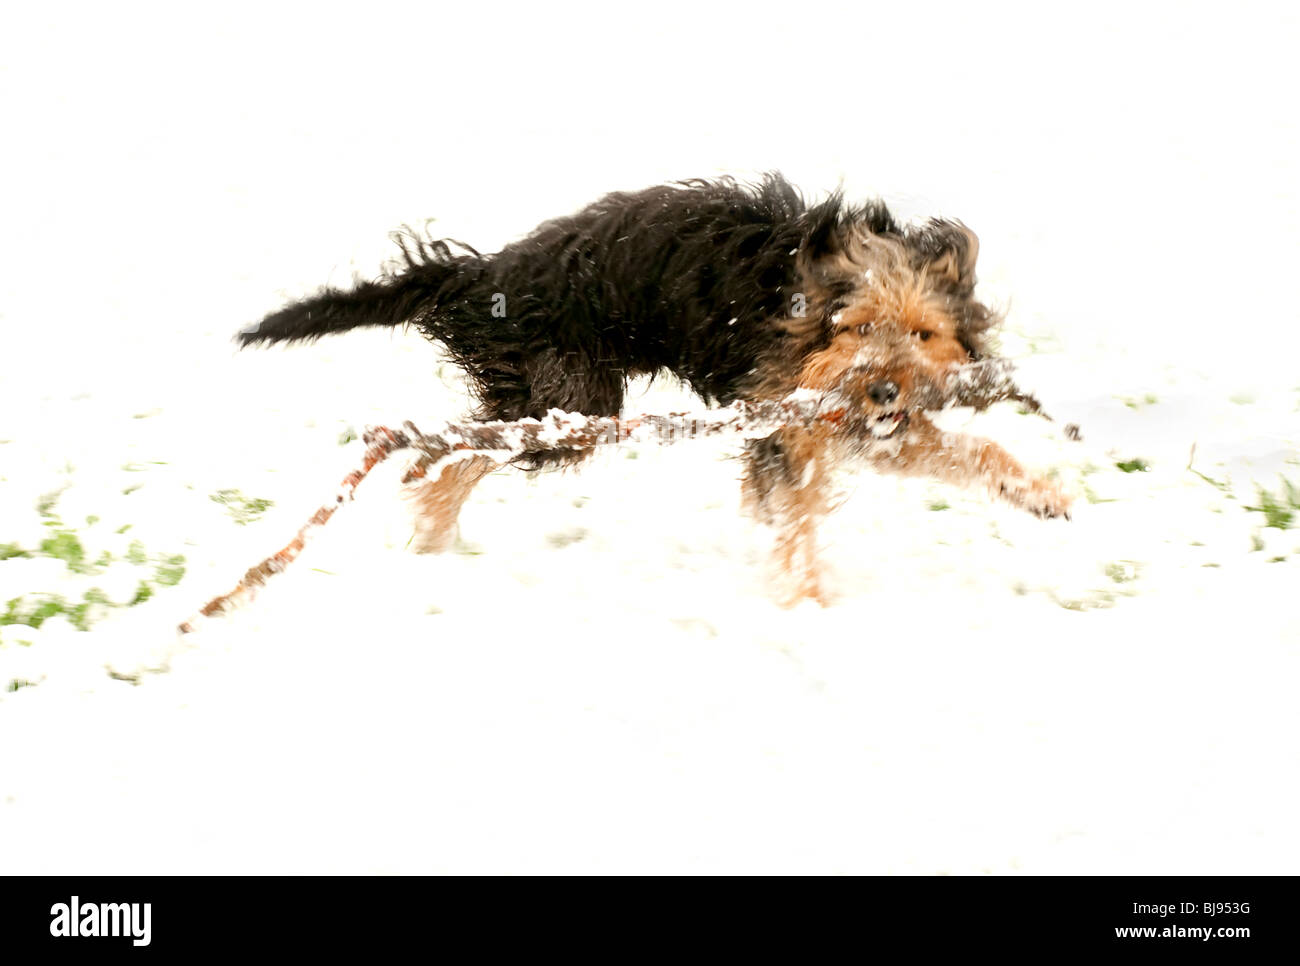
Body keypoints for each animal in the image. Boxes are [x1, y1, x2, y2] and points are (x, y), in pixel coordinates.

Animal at [239, 170, 1071, 600]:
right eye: (857, 328)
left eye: (924, 334)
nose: (886, 392)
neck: (809, 299)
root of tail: (484, 274)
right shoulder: (793, 409)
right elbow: (798, 512)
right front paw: (806, 595)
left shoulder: (848, 422)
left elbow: (965, 452)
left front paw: (1040, 492)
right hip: (568, 403)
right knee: (447, 453)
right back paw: (431, 529)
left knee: (442, 451)